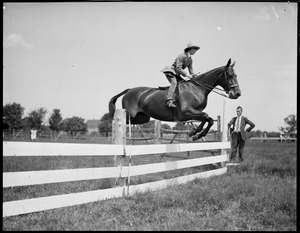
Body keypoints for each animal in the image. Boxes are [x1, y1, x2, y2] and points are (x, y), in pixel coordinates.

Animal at [108, 59, 241, 141]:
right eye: (230, 75)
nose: (237, 94)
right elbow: (206, 116)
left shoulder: (194, 112)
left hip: (143, 117)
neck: (196, 88)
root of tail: (129, 90)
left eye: (236, 75)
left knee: (129, 122)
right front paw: (196, 133)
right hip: (130, 113)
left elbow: (208, 118)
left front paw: (195, 134)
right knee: (117, 120)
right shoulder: (185, 112)